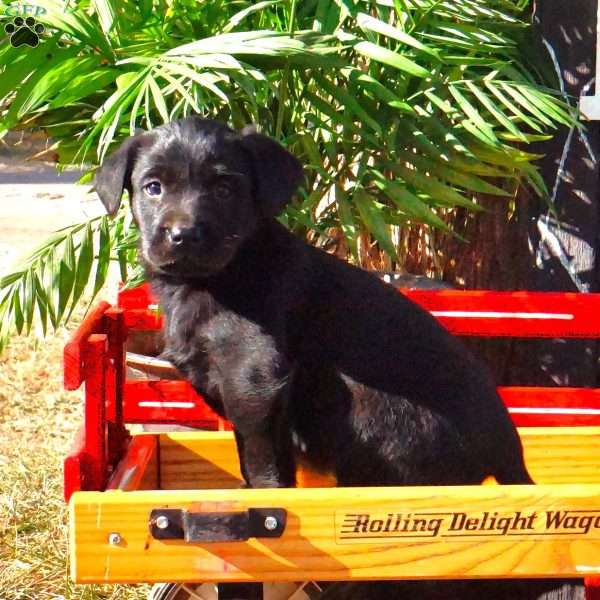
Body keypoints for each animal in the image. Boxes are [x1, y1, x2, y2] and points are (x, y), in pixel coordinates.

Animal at [96, 118, 532, 492]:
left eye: (223, 190)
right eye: (153, 187)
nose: (182, 235)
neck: (219, 276)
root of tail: (509, 451)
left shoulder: (254, 380)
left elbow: (261, 461)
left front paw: (267, 499)